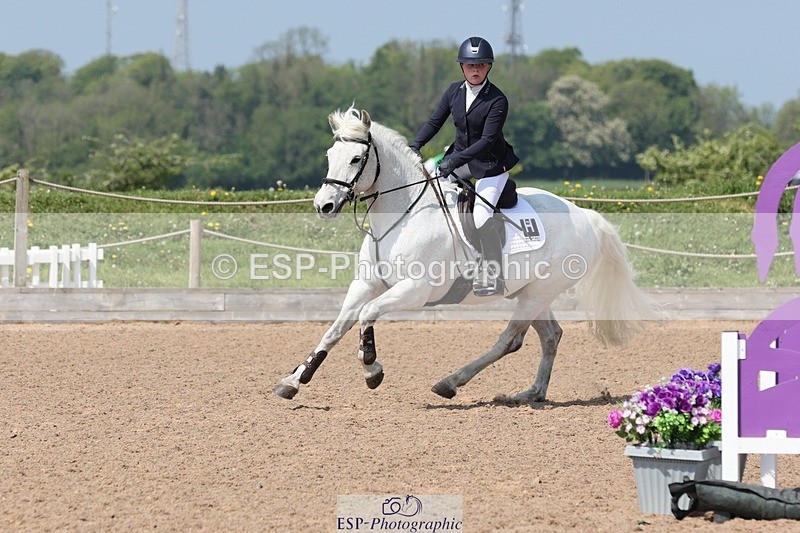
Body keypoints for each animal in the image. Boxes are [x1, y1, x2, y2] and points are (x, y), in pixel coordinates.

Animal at [273, 107, 661, 403]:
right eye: (329, 157)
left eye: (356, 158)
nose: (323, 206)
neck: (401, 216)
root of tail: (586, 215)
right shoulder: (366, 284)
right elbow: (335, 329)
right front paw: (294, 381)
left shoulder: (415, 289)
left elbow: (367, 315)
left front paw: (372, 369)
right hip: (531, 292)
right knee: (550, 335)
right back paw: (531, 394)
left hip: (539, 291)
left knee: (510, 339)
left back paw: (450, 383)